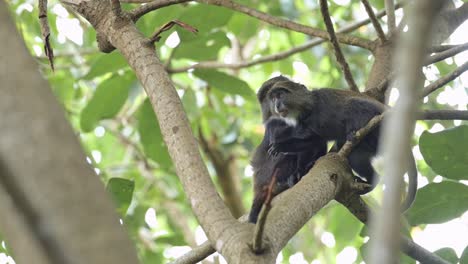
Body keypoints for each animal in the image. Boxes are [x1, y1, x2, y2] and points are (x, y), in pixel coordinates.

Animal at [258, 75, 418, 211]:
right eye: (273, 99)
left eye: (280, 95)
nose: (277, 105)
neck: (308, 107)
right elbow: (311, 142)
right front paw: (298, 171)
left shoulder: (321, 109)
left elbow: (317, 138)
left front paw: (280, 146)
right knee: (356, 156)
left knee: (354, 105)